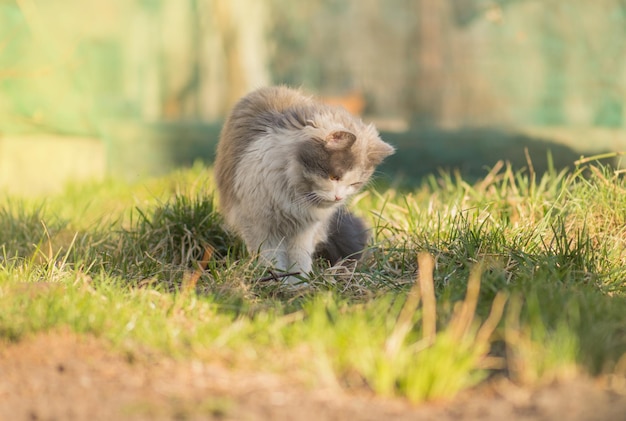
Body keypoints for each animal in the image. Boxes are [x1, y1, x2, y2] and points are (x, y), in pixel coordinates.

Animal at [212, 84, 392, 286]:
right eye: (334, 177)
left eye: (355, 183)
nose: (339, 197)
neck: (294, 192)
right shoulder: (261, 225)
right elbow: (272, 258)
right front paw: (278, 283)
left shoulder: (304, 230)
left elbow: (300, 259)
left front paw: (299, 284)